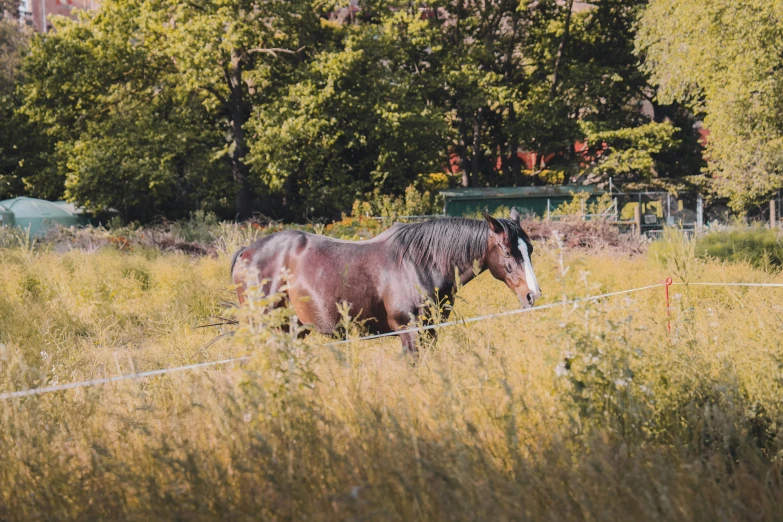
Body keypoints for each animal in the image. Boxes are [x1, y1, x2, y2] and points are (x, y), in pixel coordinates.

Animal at [230, 207, 544, 350]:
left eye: (529, 249)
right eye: (507, 251)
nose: (533, 295)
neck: (420, 263)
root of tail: (248, 251)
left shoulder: (431, 332)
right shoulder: (409, 332)